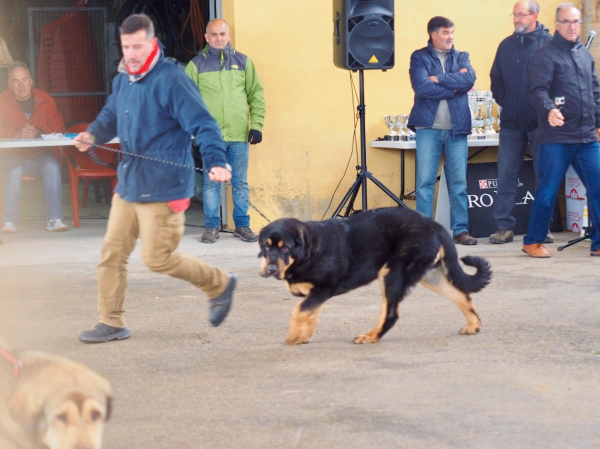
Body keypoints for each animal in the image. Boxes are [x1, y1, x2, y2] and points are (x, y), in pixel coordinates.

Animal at [258, 206, 492, 344]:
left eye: (285, 247)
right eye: (266, 246)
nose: (270, 270)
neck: (308, 251)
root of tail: (435, 225)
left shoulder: (325, 287)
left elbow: (300, 310)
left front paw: (292, 337)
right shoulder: (316, 293)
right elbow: (311, 313)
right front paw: (303, 336)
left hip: (393, 274)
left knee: (390, 314)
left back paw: (371, 336)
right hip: (429, 274)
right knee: (462, 296)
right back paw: (473, 325)